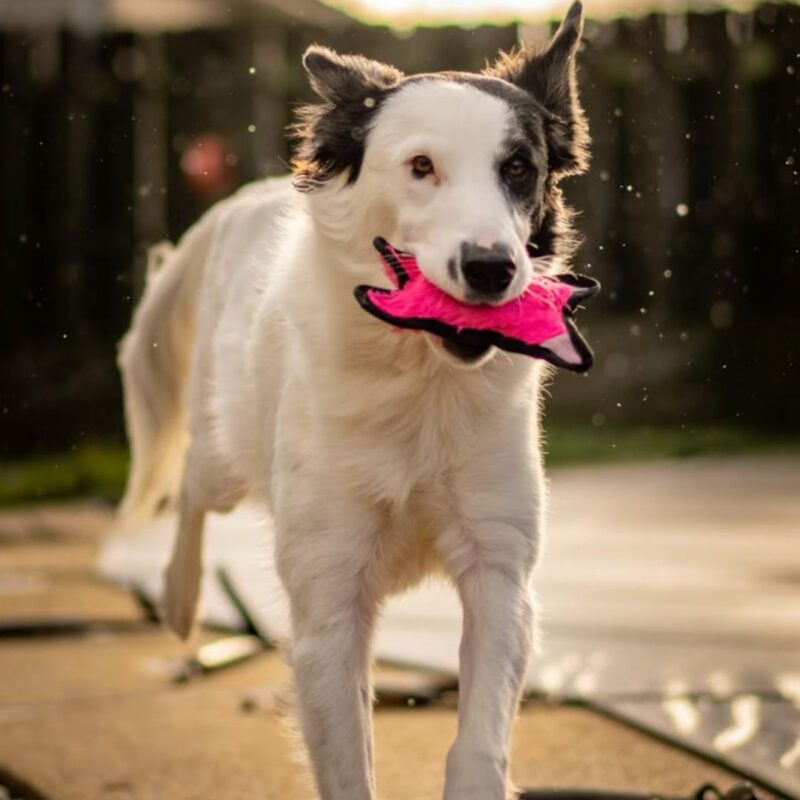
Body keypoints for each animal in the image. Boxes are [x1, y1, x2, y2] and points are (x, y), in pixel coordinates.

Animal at [117, 3, 588, 796]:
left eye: (518, 168)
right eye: (422, 166)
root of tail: (246, 198)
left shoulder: (499, 571)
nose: (492, 268)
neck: (419, 377)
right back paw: (179, 598)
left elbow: (480, 738)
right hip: (225, 450)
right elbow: (347, 756)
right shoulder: (328, 600)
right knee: (191, 489)